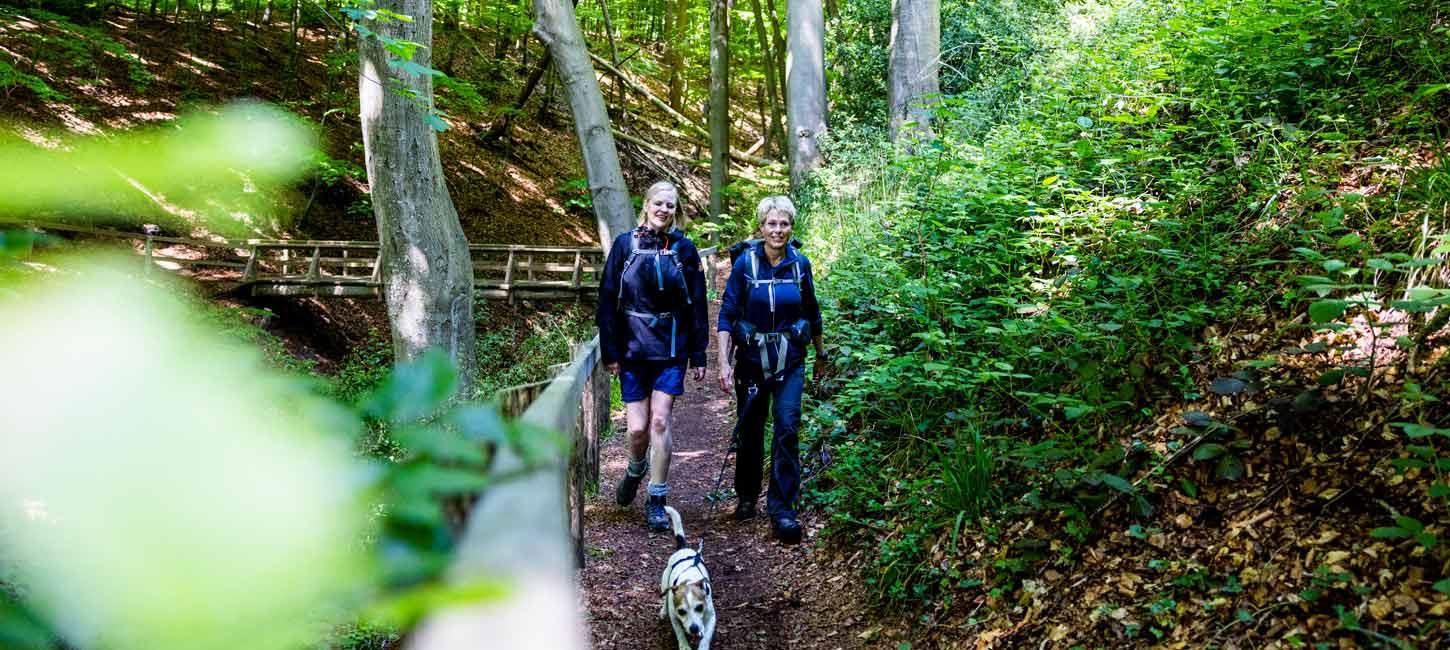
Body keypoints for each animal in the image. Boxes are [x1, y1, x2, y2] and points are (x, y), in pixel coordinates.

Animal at [661, 507, 716, 650]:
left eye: (699, 607)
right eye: (681, 611)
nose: (694, 628)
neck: (688, 581)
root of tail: (683, 548)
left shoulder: (711, 616)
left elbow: (707, 636)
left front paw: (703, 645)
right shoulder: (674, 616)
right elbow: (679, 631)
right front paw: (684, 645)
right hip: (664, 583)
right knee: (664, 597)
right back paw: (663, 611)